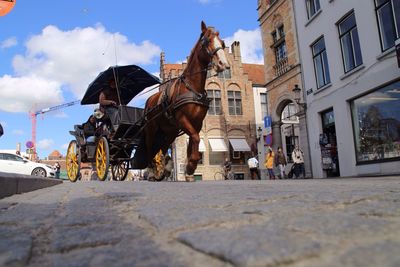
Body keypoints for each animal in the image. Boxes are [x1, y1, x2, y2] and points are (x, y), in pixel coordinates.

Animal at [132, 21, 228, 182]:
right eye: (207, 41)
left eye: (222, 43)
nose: (223, 64)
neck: (192, 88)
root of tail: (150, 100)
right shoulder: (183, 119)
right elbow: (195, 138)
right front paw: (191, 166)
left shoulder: (196, 123)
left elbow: (193, 142)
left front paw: (189, 169)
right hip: (151, 129)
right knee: (151, 148)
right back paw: (152, 172)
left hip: (169, 130)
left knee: (163, 148)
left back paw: (165, 170)